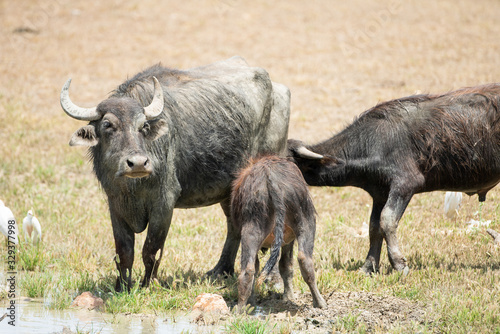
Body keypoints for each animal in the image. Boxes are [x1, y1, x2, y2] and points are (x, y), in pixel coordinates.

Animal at [60, 56, 292, 290]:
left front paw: (148, 285)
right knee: (234, 226)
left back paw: (272, 279)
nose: (138, 163)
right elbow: (124, 252)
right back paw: (221, 270)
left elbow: (151, 249)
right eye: (108, 125)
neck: (133, 187)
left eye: (143, 126)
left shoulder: (164, 203)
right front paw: (122, 286)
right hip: (229, 190)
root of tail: (279, 89)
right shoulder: (115, 203)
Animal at [231, 157, 328, 310]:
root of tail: (270, 177)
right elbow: (285, 266)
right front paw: (289, 297)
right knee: (304, 259)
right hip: (306, 221)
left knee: (249, 268)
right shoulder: (288, 241)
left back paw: (240, 308)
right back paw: (319, 302)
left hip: (254, 229)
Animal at [288, 84, 500, 276]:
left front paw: (399, 264)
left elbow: (387, 220)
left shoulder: (405, 184)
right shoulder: (379, 193)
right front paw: (368, 267)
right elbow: (374, 227)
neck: (371, 142)